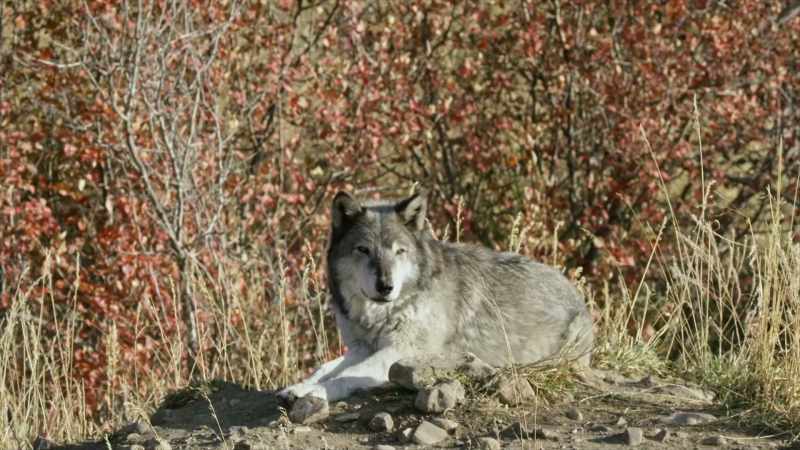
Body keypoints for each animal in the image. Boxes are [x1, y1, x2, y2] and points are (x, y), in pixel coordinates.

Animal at [278, 189, 593, 404]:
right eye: (363, 250)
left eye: (399, 251)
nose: (386, 286)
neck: (385, 314)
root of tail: (577, 295)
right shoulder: (361, 348)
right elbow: (326, 367)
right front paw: (297, 386)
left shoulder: (402, 351)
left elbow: (345, 376)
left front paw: (312, 391)